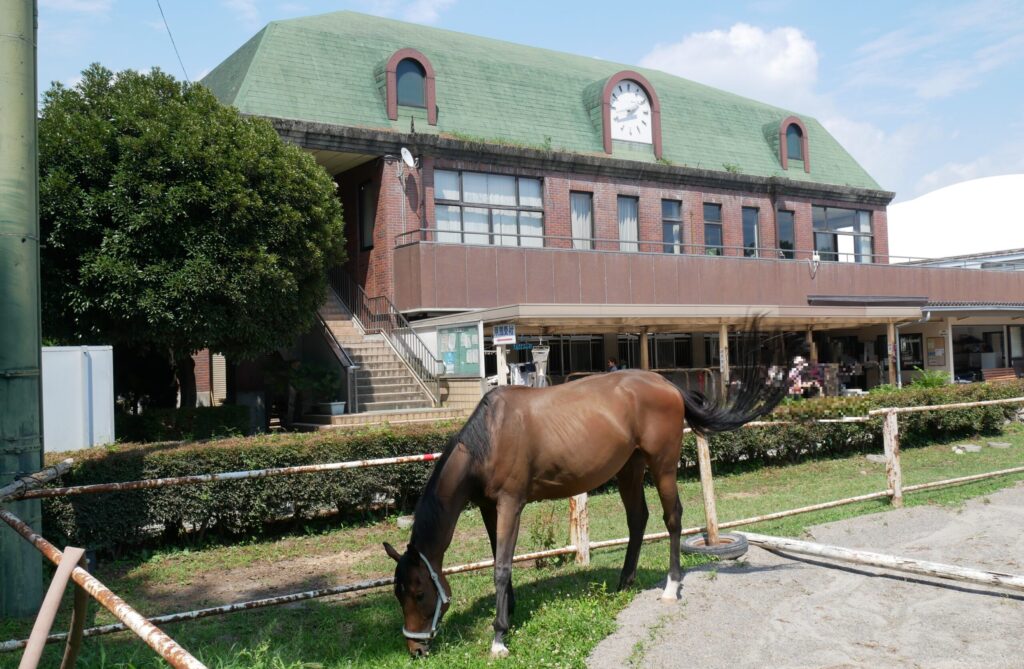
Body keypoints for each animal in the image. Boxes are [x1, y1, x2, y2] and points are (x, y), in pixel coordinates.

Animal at [384, 326, 796, 658]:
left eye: (419, 593)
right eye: (398, 594)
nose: (416, 649)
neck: (491, 434)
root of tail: (667, 384)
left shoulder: (510, 504)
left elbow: (501, 565)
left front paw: (499, 637)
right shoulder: (489, 507)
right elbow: (500, 559)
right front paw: (509, 611)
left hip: (662, 465)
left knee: (672, 518)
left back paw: (670, 586)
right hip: (630, 468)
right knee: (638, 519)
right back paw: (624, 581)